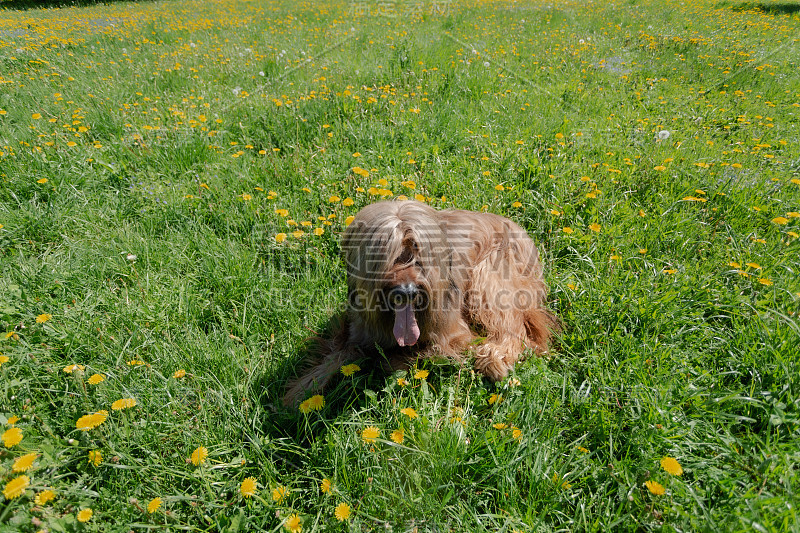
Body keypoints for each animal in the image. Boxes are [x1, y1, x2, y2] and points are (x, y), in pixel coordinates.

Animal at [284, 200, 560, 404]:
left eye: (418, 254)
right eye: (389, 255)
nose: (407, 291)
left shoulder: (454, 337)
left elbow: (423, 354)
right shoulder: (357, 330)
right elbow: (336, 356)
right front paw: (299, 393)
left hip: (489, 277)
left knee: (515, 331)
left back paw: (494, 359)